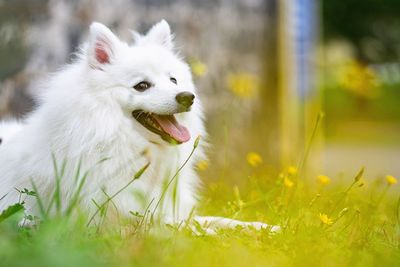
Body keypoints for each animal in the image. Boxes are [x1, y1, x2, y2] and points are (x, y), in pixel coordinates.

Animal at [0, 20, 278, 234]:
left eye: (173, 80)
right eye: (142, 86)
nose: (187, 97)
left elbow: (216, 219)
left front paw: (264, 227)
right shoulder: (105, 219)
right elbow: (169, 225)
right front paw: (204, 235)